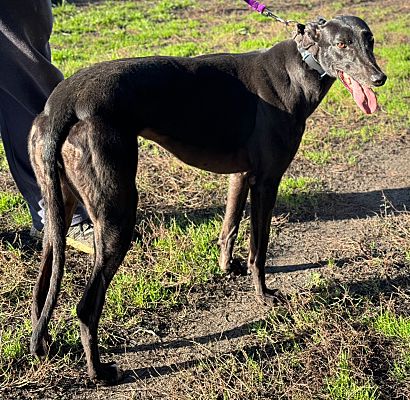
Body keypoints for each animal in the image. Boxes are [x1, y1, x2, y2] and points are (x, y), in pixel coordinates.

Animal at [29, 15, 388, 382]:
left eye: (369, 40)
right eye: (341, 44)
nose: (379, 78)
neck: (299, 65)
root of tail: (60, 105)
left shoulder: (241, 175)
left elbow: (229, 227)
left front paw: (228, 267)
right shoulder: (267, 182)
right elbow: (259, 248)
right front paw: (264, 295)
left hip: (57, 210)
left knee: (42, 286)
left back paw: (43, 344)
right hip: (118, 213)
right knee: (86, 307)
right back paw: (98, 371)